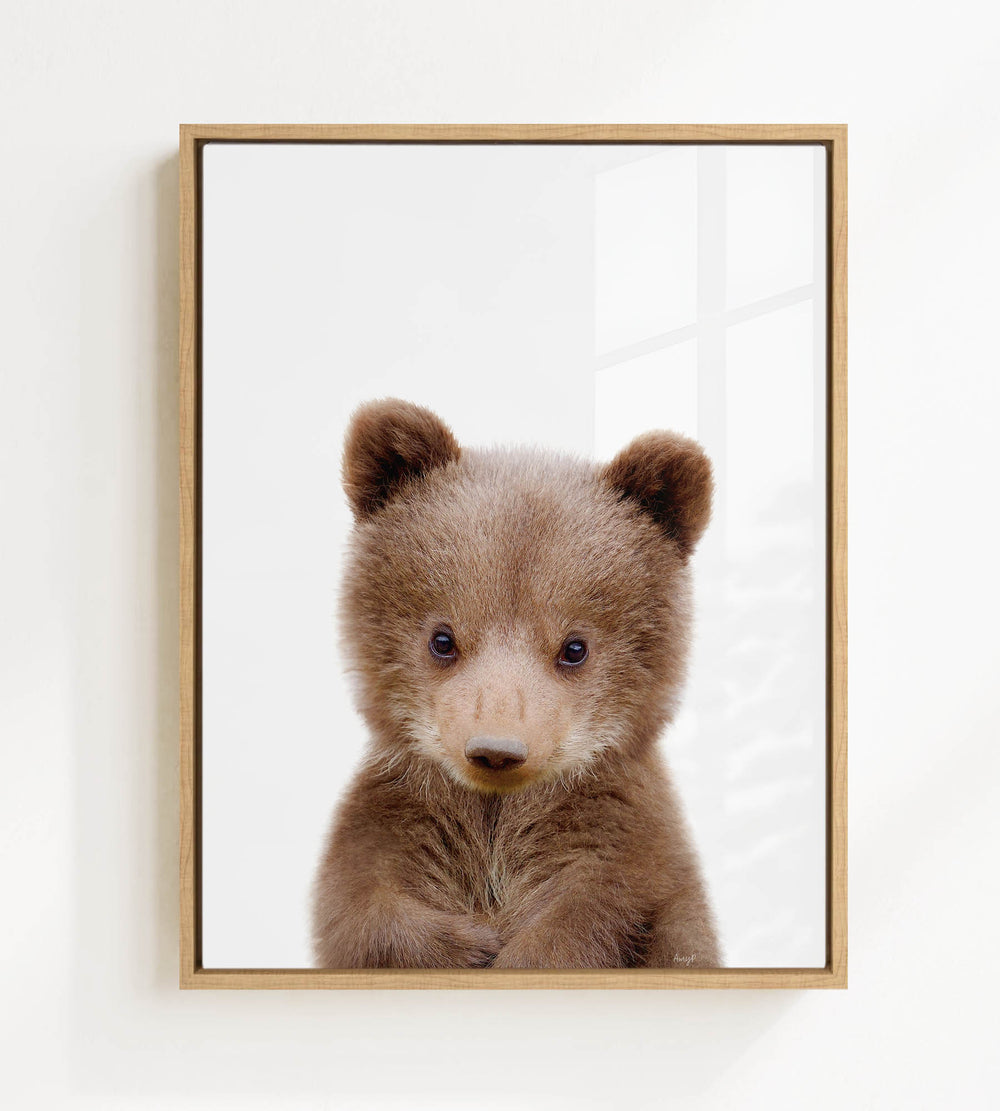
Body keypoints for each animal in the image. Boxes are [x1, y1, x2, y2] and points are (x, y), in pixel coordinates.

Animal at [311, 398, 721, 969]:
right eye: (443, 638)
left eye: (575, 647)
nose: (496, 749)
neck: (495, 815)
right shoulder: (398, 818)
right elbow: (363, 905)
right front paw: (470, 946)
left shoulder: (621, 844)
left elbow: (597, 913)